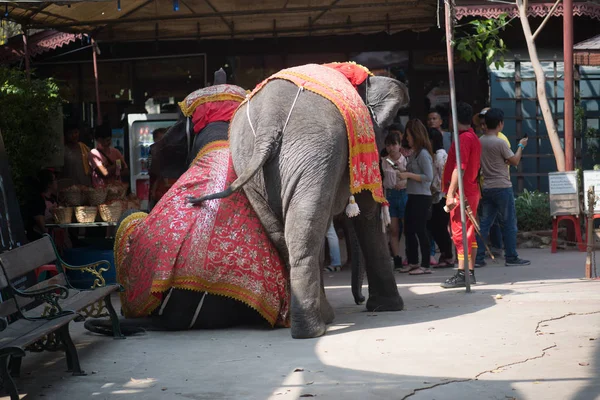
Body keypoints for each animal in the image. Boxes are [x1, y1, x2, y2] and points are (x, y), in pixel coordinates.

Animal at [190, 62, 410, 338]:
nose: (360, 300)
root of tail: (267, 124)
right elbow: (368, 212)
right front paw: (389, 307)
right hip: (314, 149)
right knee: (308, 228)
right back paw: (314, 329)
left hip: (253, 160)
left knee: (288, 231)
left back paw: (318, 320)